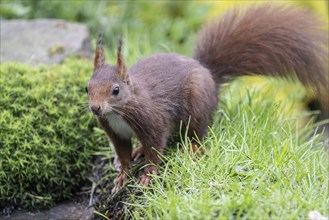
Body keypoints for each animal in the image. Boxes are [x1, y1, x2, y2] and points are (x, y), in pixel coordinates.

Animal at [86, 3, 326, 192]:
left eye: (116, 90)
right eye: (87, 88)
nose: (95, 108)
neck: (119, 113)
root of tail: (209, 74)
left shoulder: (153, 120)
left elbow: (155, 147)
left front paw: (147, 175)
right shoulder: (115, 131)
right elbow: (123, 154)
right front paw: (122, 176)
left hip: (198, 106)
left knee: (197, 132)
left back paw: (191, 148)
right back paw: (139, 150)